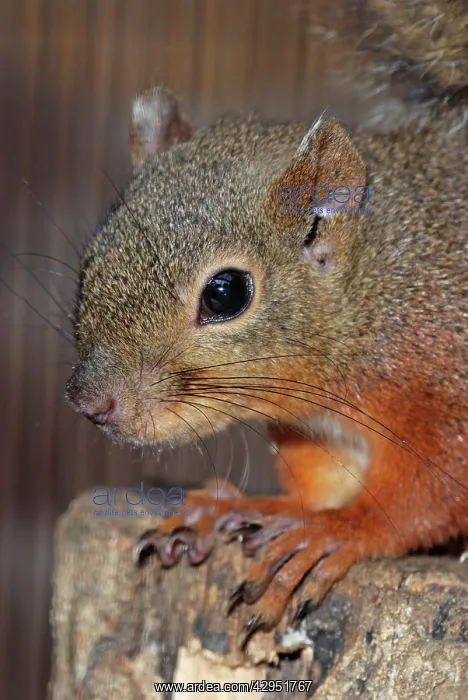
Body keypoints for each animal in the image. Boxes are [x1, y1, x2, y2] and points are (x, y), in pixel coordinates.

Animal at [66, 0, 468, 645]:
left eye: (226, 293)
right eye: (91, 259)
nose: (90, 403)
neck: (372, 298)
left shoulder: (447, 385)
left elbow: (428, 493)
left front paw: (338, 531)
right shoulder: (316, 433)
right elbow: (317, 483)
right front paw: (247, 509)